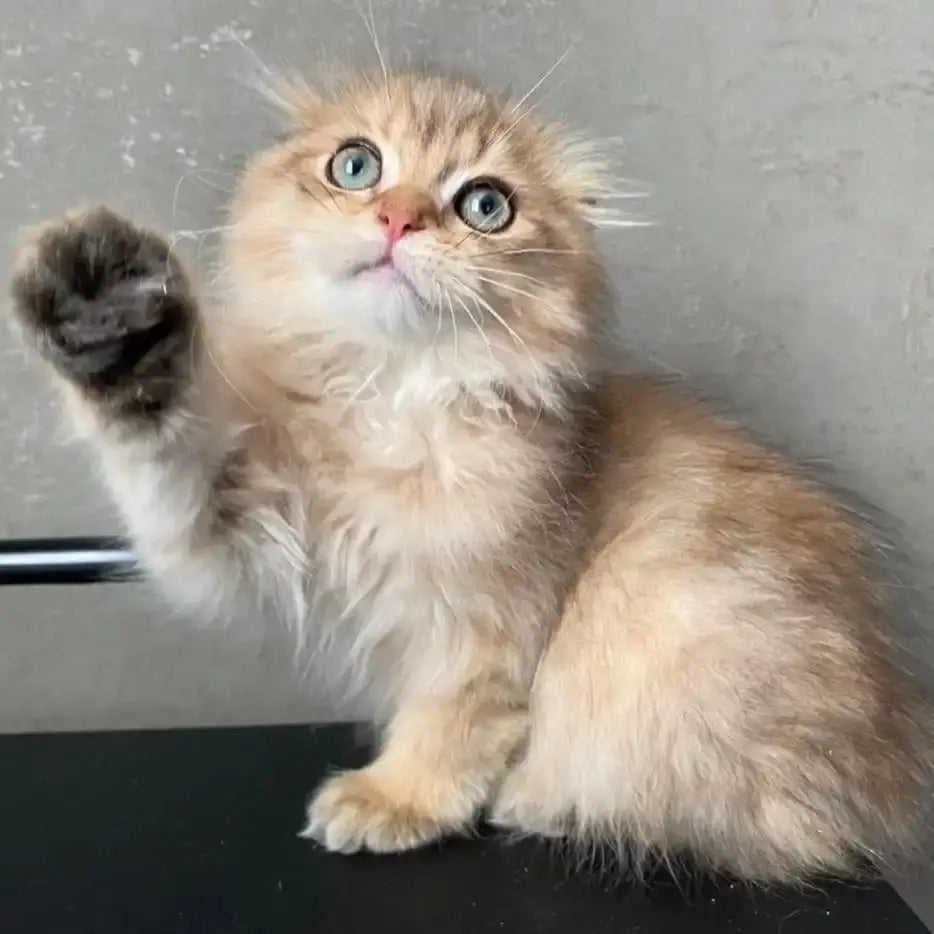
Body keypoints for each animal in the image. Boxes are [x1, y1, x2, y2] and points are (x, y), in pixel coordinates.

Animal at [9, 69, 934, 880]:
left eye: (485, 205)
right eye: (356, 165)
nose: (399, 219)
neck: (388, 400)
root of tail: (899, 751)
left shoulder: (488, 618)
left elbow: (454, 722)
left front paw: (399, 801)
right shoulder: (233, 528)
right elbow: (161, 448)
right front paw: (115, 327)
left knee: (768, 835)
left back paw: (539, 803)